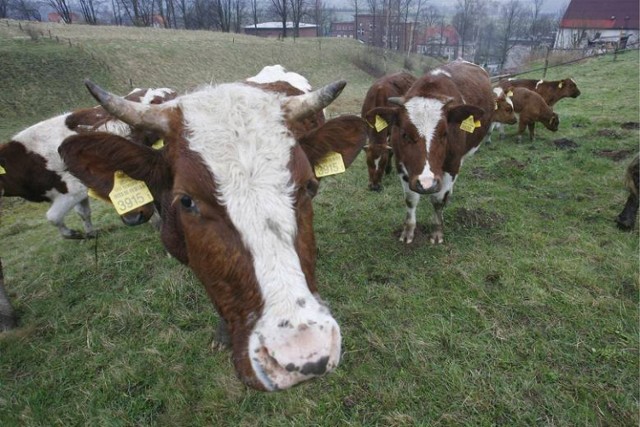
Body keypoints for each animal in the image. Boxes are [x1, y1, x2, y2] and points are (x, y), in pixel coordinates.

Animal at [0, 86, 176, 237]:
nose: (132, 219)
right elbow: (83, 213)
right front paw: (90, 233)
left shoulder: (74, 190)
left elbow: (53, 217)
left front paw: (73, 234)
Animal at [362, 61, 492, 246]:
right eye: (404, 134)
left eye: (445, 133)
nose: (426, 183)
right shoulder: (402, 166)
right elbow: (410, 199)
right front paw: (408, 232)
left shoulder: (452, 165)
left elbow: (438, 201)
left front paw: (437, 232)